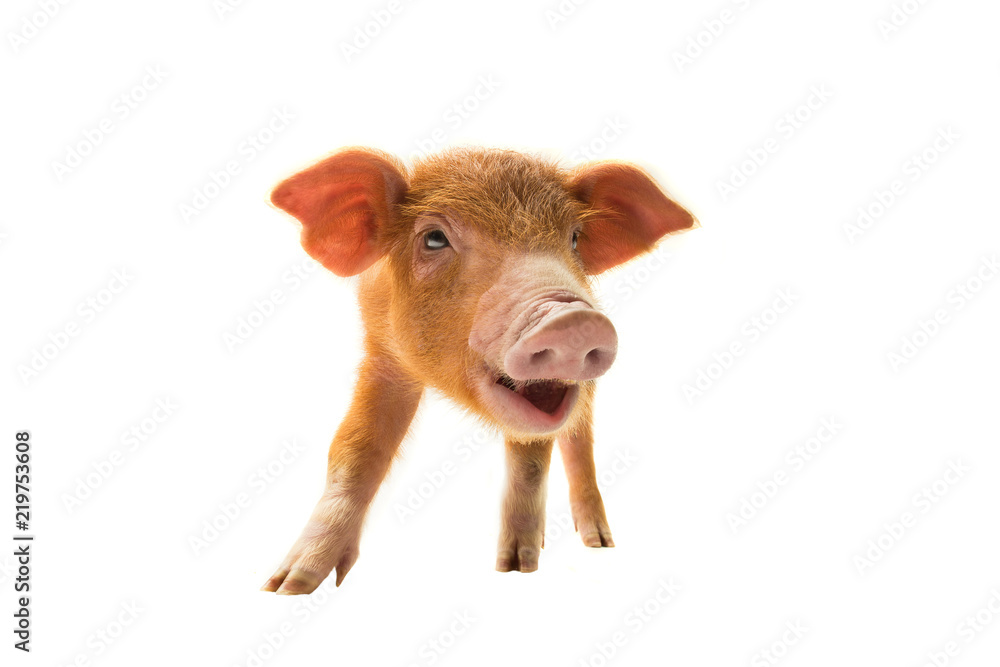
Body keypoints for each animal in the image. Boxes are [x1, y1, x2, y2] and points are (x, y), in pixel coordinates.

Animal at [261, 147, 695, 594]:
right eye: (434, 238)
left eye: (575, 238)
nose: (573, 318)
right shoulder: (383, 355)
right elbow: (356, 449)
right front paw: (287, 585)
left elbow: (531, 461)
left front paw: (515, 569)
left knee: (579, 439)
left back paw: (599, 543)